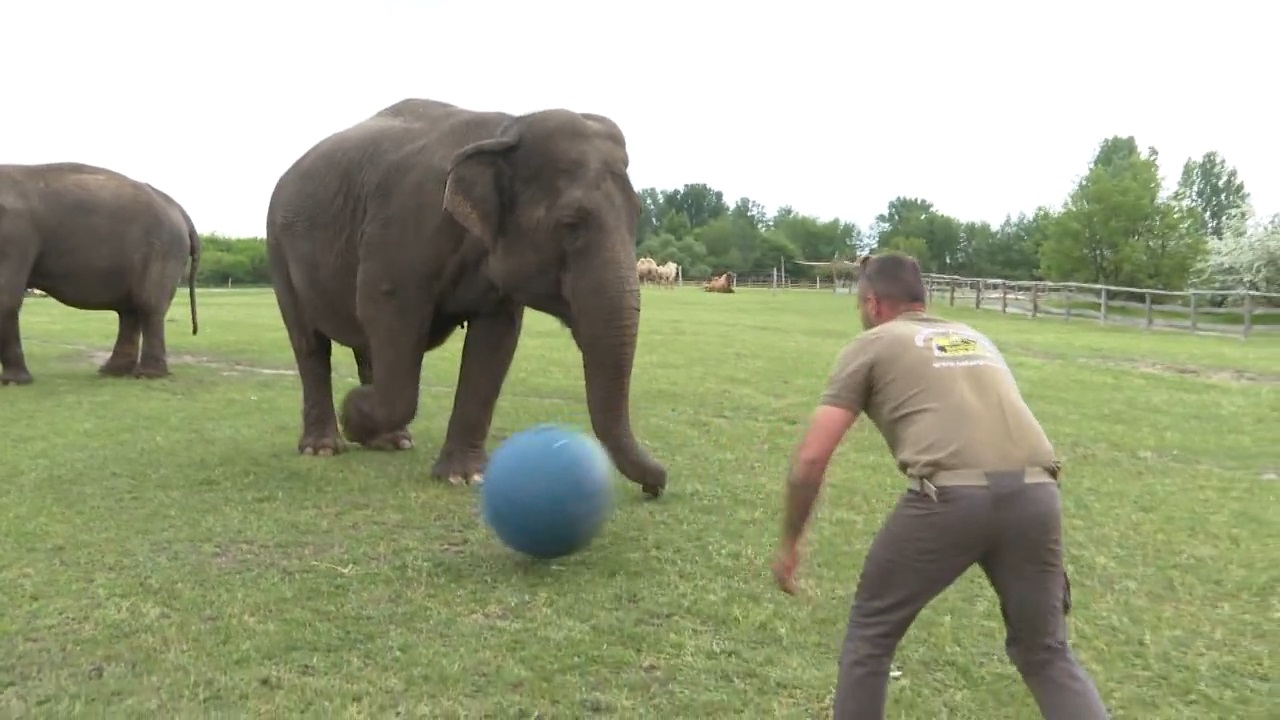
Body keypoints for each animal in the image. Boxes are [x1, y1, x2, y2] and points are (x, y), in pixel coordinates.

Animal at [0, 162, 199, 384]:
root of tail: (180, 210)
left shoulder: (13, 236)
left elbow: (6, 298)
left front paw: (15, 382)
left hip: (163, 249)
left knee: (148, 305)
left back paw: (147, 375)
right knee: (130, 309)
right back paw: (113, 372)